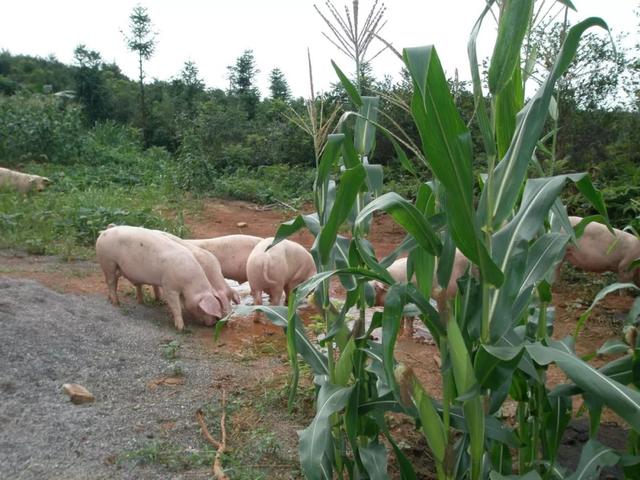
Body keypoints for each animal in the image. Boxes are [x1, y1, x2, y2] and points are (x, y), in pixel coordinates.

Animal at [97, 225, 230, 330]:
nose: (213, 324)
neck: (189, 283)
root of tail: (104, 232)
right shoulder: (169, 286)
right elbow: (176, 306)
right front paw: (181, 328)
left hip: (117, 267)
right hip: (108, 261)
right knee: (111, 281)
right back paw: (116, 303)